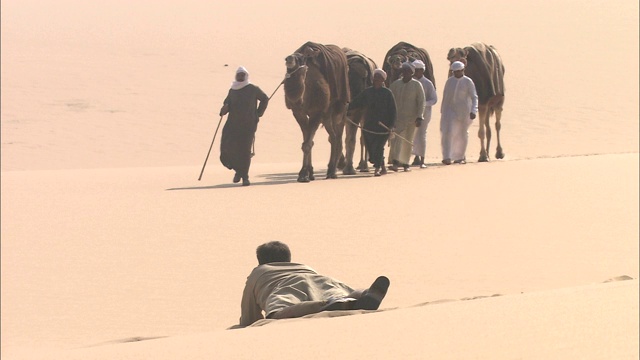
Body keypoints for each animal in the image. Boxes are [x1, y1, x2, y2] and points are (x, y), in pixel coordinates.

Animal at [284, 42, 350, 183]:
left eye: (301, 58)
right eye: (291, 55)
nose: (288, 59)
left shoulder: (317, 112)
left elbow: (308, 144)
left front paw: (303, 174)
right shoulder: (298, 112)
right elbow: (307, 141)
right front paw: (309, 173)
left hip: (339, 110)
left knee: (337, 136)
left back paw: (332, 172)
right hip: (326, 116)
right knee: (333, 137)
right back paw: (331, 169)